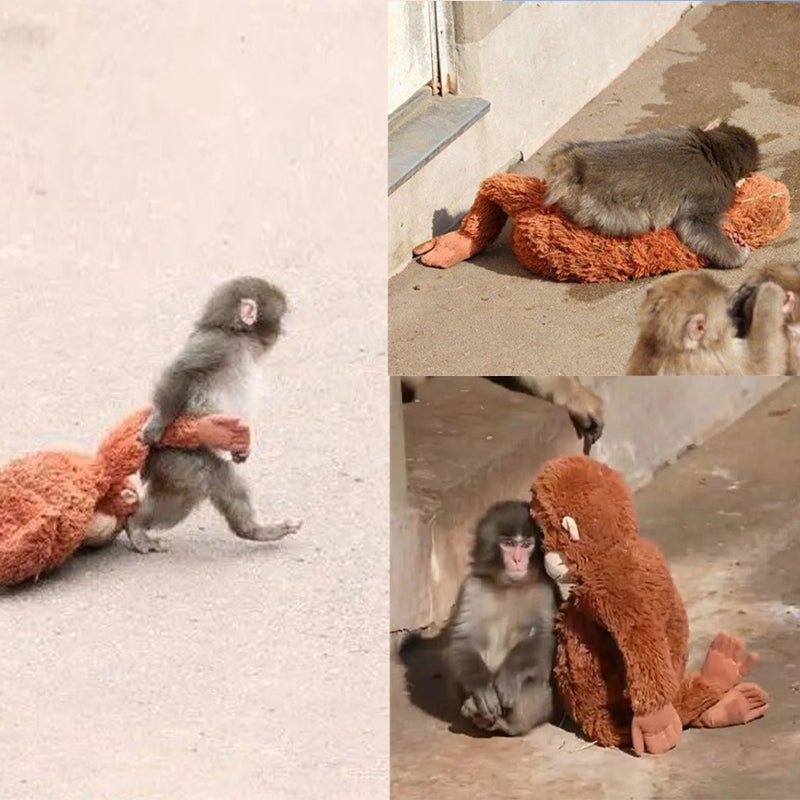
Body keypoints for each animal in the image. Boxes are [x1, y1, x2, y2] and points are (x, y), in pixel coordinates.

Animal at [125, 276, 303, 553]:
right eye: (280, 318)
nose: (281, 332)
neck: (236, 335)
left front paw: (242, 450)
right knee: (211, 478)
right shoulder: (216, 345)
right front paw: (157, 423)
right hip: (177, 457)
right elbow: (181, 372)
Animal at [443, 501, 557, 736]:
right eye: (508, 544)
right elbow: (462, 641)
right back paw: (473, 708)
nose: (517, 560)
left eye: (526, 545)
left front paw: (510, 677)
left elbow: (543, 639)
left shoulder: (544, 591)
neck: (509, 586)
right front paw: (482, 687)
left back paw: (508, 724)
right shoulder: (472, 588)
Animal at [544, 121, 759, 268]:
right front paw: (737, 254)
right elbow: (696, 225)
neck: (714, 151)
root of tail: (577, 166)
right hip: (597, 207)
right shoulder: (713, 192)